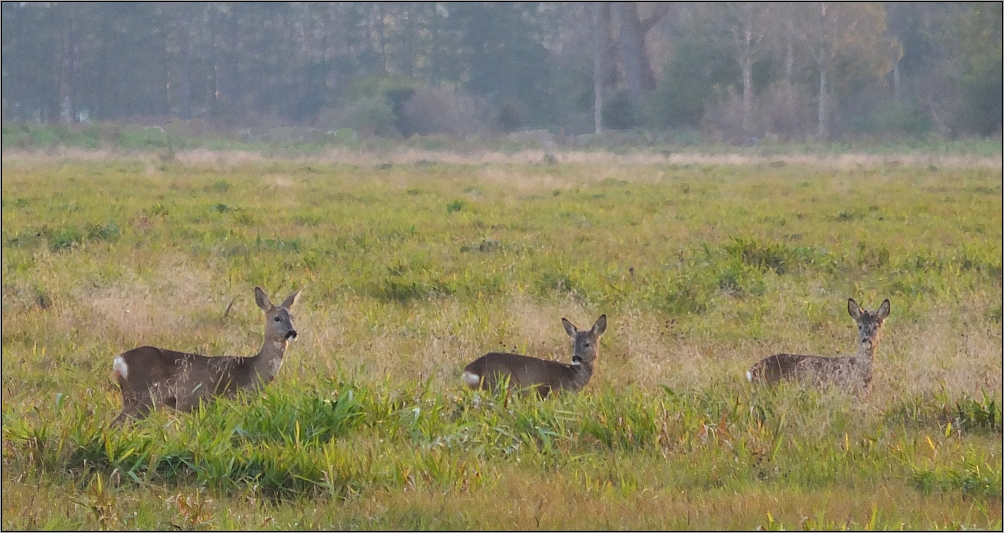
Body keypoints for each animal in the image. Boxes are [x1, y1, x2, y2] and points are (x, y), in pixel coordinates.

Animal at [110, 287, 299, 425]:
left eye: (293, 317)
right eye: (277, 318)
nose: (292, 332)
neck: (251, 370)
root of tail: (119, 360)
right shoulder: (228, 398)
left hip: (132, 396)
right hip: (144, 395)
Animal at [459, 315, 606, 397]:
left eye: (587, 344)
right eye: (573, 344)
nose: (575, 358)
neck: (574, 375)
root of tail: (471, 369)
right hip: (503, 383)